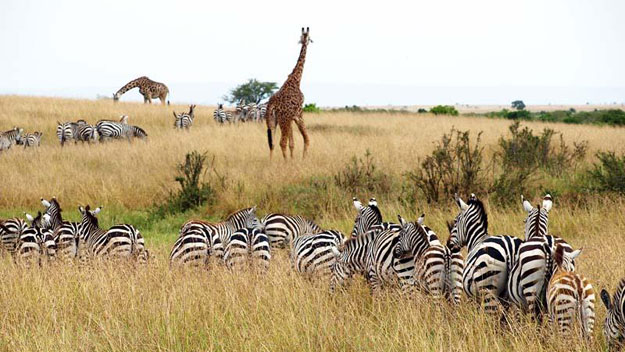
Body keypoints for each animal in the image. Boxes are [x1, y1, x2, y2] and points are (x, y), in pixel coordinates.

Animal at [264, 27, 310, 160]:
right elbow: (306, 139)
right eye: (309, 38)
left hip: (272, 120)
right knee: (281, 142)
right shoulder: (298, 114)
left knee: (272, 143)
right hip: (283, 120)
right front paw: (302, 159)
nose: (306, 41)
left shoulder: (291, 117)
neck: (296, 79)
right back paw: (285, 162)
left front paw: (293, 159)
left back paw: (271, 161)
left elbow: (292, 143)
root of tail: (272, 104)